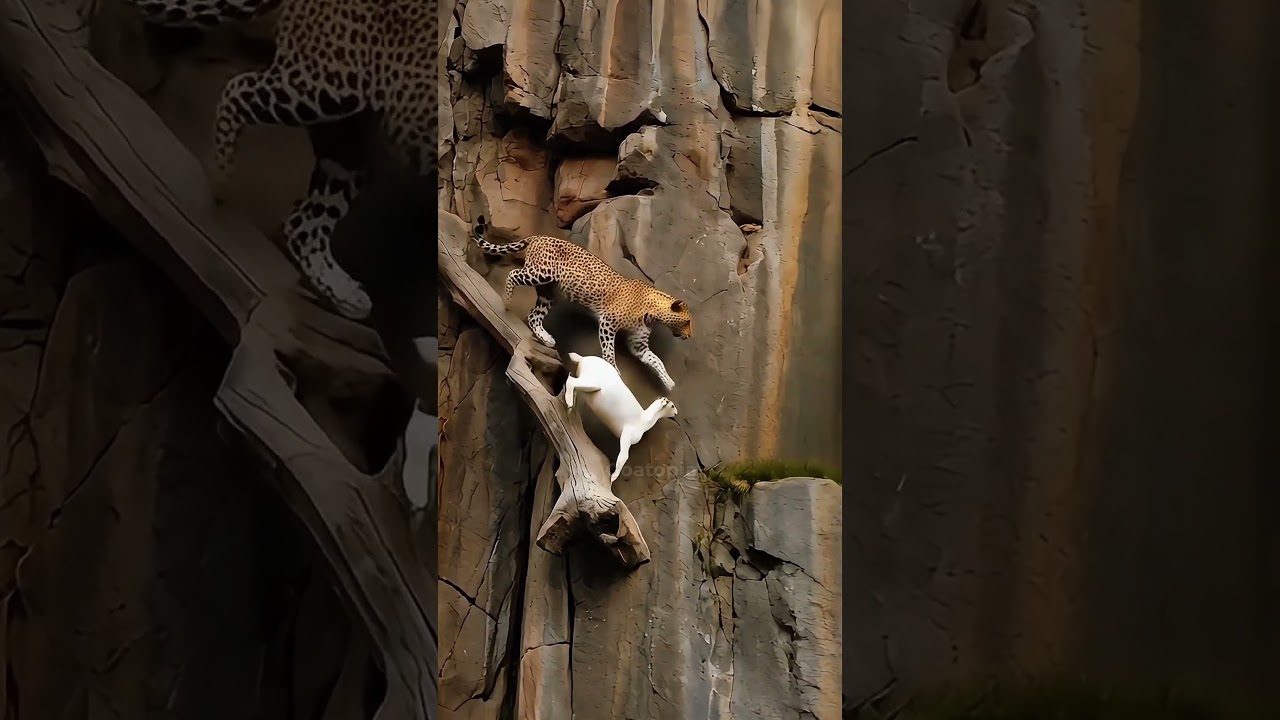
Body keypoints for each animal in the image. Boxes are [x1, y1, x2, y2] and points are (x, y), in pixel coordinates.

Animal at [119, 0, 439, 320]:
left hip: (345, 133)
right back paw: (221, 175)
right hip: (323, 86)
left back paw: (344, 294)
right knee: (237, 87)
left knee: (302, 224)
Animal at [471, 216, 693, 391]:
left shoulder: (638, 342)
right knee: (513, 274)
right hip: (540, 273)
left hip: (548, 292)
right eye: (687, 322)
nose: (690, 336)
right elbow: (609, 350)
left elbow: (656, 360)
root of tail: (538, 236)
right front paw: (614, 370)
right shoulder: (608, 323)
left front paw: (668, 382)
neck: (652, 313)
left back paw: (546, 339)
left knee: (534, 316)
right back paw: (507, 300)